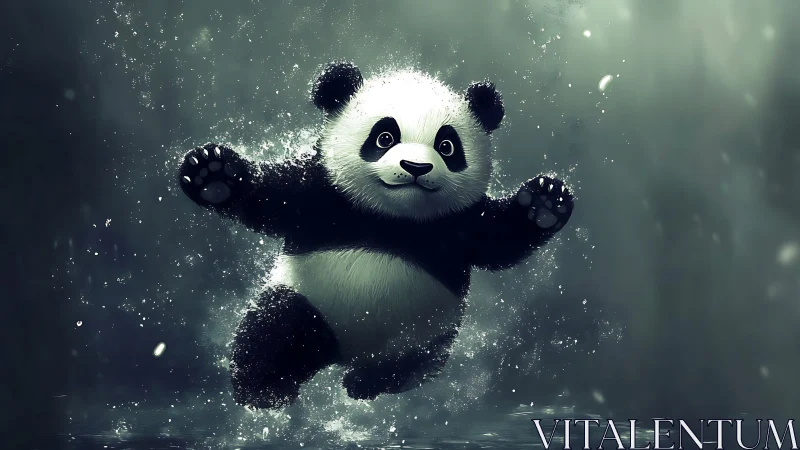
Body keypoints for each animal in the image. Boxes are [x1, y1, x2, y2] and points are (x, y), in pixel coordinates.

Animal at [177, 61, 574, 410]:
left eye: (447, 146)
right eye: (385, 137)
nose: (415, 167)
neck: (391, 219)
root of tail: (345, 353)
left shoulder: (459, 223)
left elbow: (499, 241)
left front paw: (544, 204)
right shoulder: (323, 192)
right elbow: (272, 198)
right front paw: (212, 174)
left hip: (425, 332)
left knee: (410, 366)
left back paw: (363, 384)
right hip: (307, 299)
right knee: (271, 333)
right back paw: (265, 391)